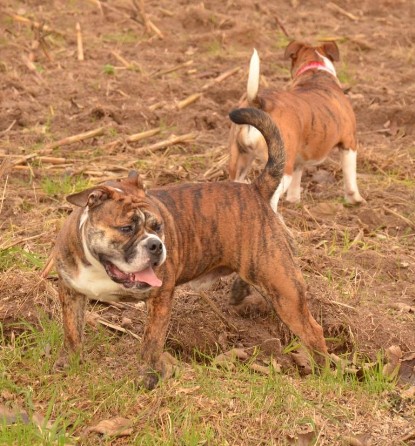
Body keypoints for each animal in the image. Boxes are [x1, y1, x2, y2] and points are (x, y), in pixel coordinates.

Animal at [52, 107, 328, 386]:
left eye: (158, 226)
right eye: (127, 228)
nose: (156, 245)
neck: (101, 268)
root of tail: (255, 190)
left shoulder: (160, 298)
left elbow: (151, 343)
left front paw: (148, 378)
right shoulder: (70, 291)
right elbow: (71, 331)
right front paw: (68, 364)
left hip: (284, 289)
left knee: (313, 331)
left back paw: (323, 372)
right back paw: (239, 293)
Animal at [228, 39, 364, 211]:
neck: (315, 71)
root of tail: (259, 102)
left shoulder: (298, 157)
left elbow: (297, 178)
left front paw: (293, 200)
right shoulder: (349, 142)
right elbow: (350, 175)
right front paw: (355, 199)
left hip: (239, 160)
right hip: (280, 167)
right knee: (272, 198)